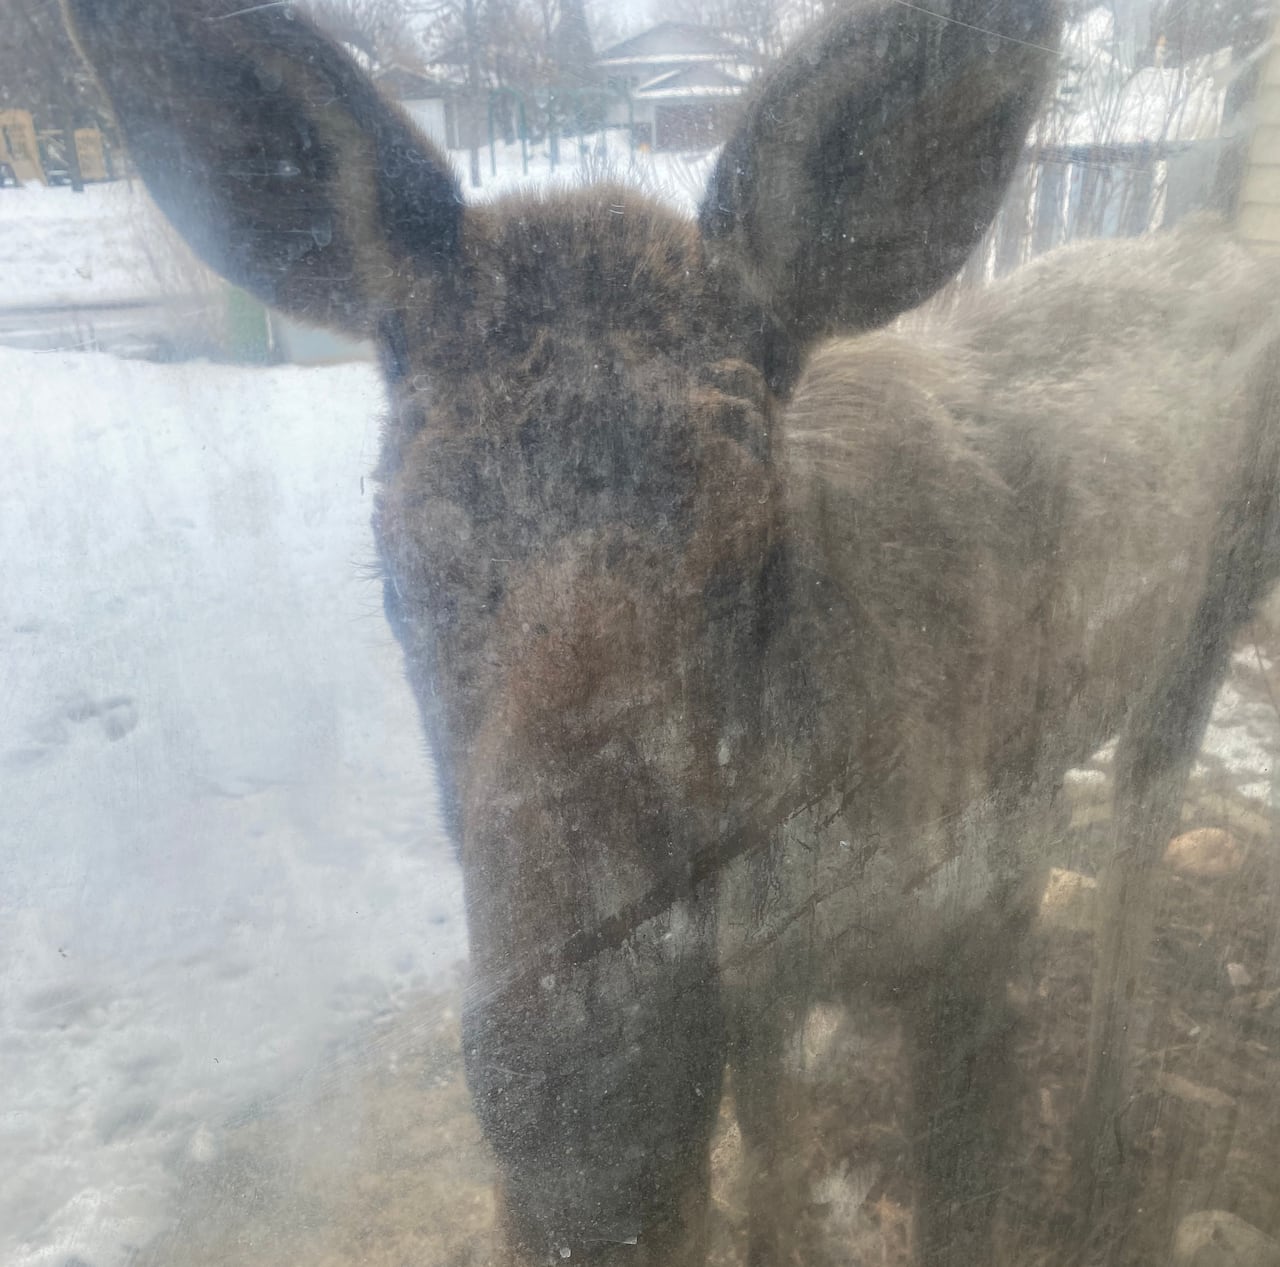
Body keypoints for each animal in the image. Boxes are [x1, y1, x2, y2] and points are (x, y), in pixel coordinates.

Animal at [63, 0, 1280, 1262]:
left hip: (1216, 602)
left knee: (1146, 815)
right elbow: (775, 1170)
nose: (588, 1132)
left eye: (757, 550)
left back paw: (1105, 1134)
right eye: (394, 569)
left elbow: (955, 1204)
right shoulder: (753, 989)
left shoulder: (985, 911)